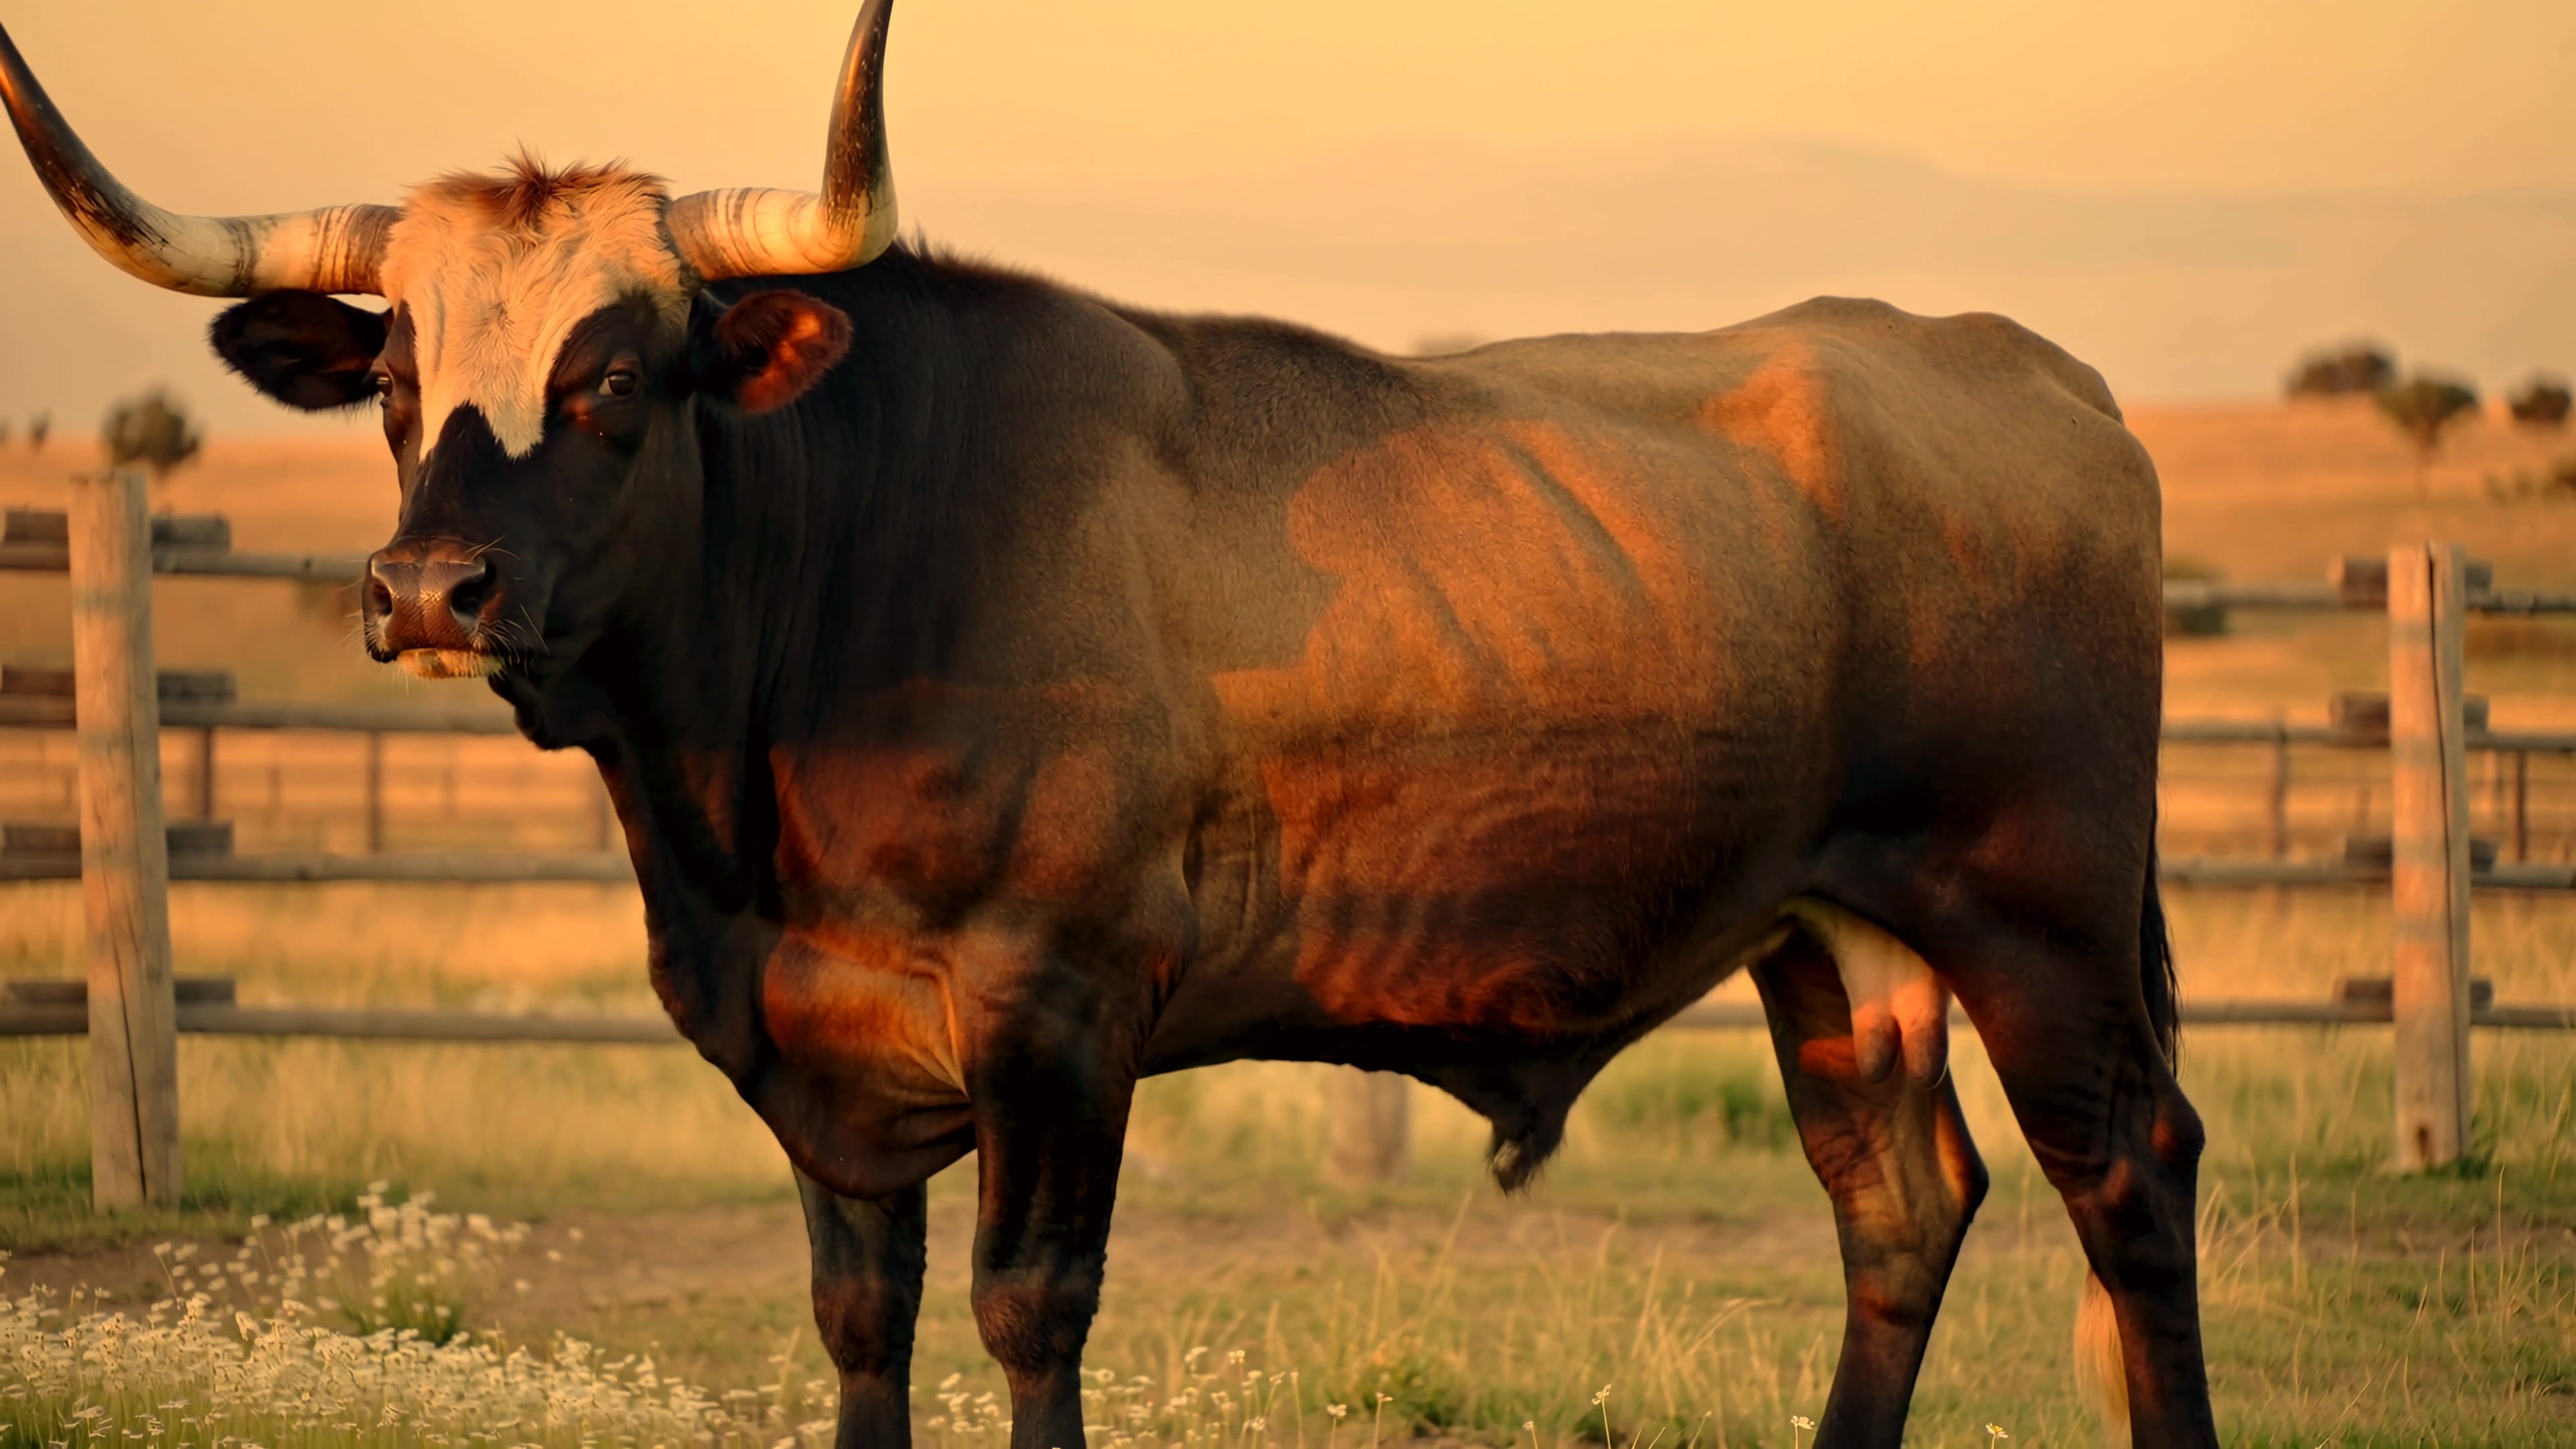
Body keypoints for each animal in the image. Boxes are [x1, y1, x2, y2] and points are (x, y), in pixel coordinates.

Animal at [1, 7, 2216, 1446]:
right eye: (391, 380)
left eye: (616, 373)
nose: (423, 592)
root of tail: (2022, 368)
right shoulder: (825, 1058)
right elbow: (861, 1322)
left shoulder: (1059, 1008)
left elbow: (1025, 1310)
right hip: (1832, 934)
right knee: (1897, 1206)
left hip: (2037, 915)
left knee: (2129, 1178)